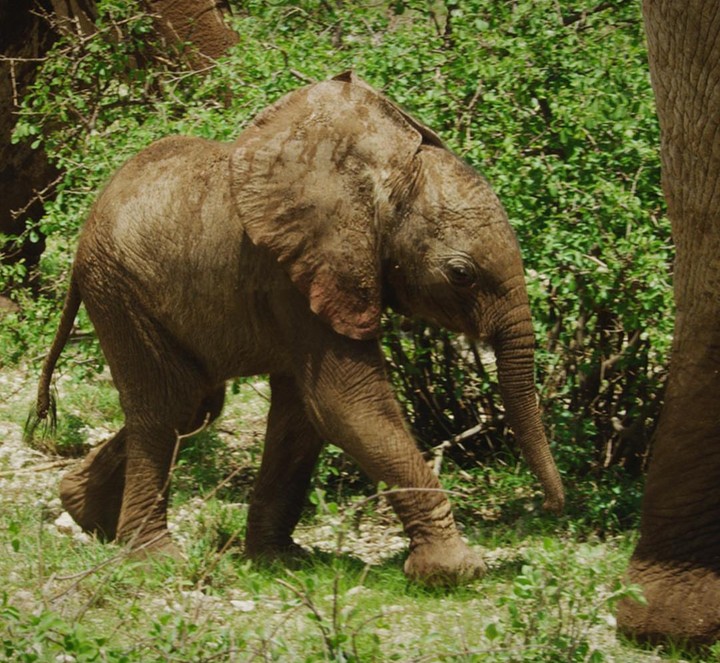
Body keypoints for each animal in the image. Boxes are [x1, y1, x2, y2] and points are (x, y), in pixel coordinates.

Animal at [34, 71, 564, 584]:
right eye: (460, 274)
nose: (551, 507)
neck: (371, 179)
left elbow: (303, 415)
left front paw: (279, 559)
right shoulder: (295, 274)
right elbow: (346, 404)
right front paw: (454, 572)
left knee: (195, 406)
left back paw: (84, 511)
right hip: (119, 290)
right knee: (167, 407)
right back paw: (152, 558)